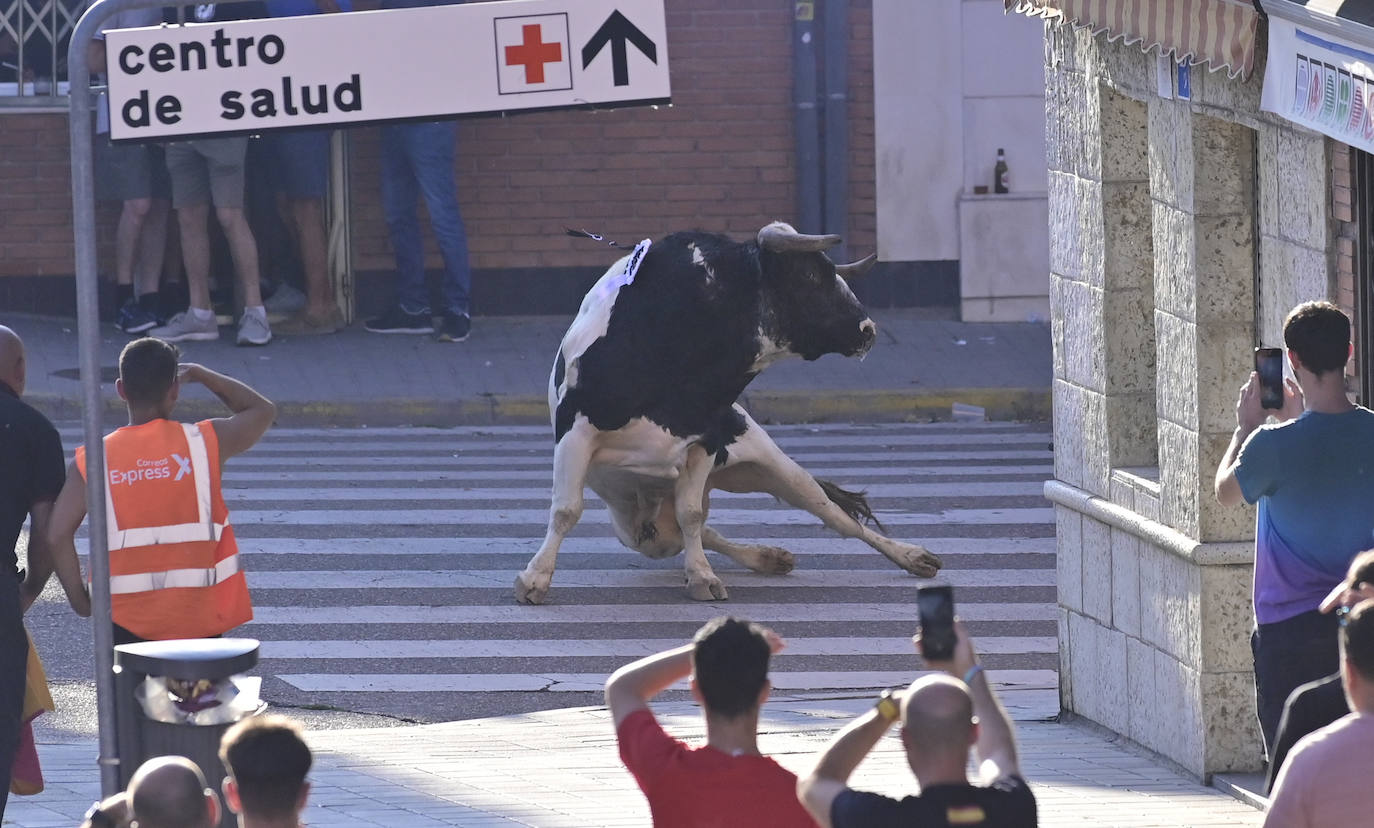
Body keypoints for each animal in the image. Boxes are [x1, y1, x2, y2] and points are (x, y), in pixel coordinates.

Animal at [516, 223, 945, 606]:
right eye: (810, 274)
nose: (868, 329)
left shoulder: (707, 437)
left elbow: (690, 515)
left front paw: (702, 577)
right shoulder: (575, 431)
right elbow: (566, 510)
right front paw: (536, 579)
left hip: (772, 466)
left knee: (835, 515)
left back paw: (909, 556)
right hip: (639, 530)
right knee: (695, 532)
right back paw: (768, 557)